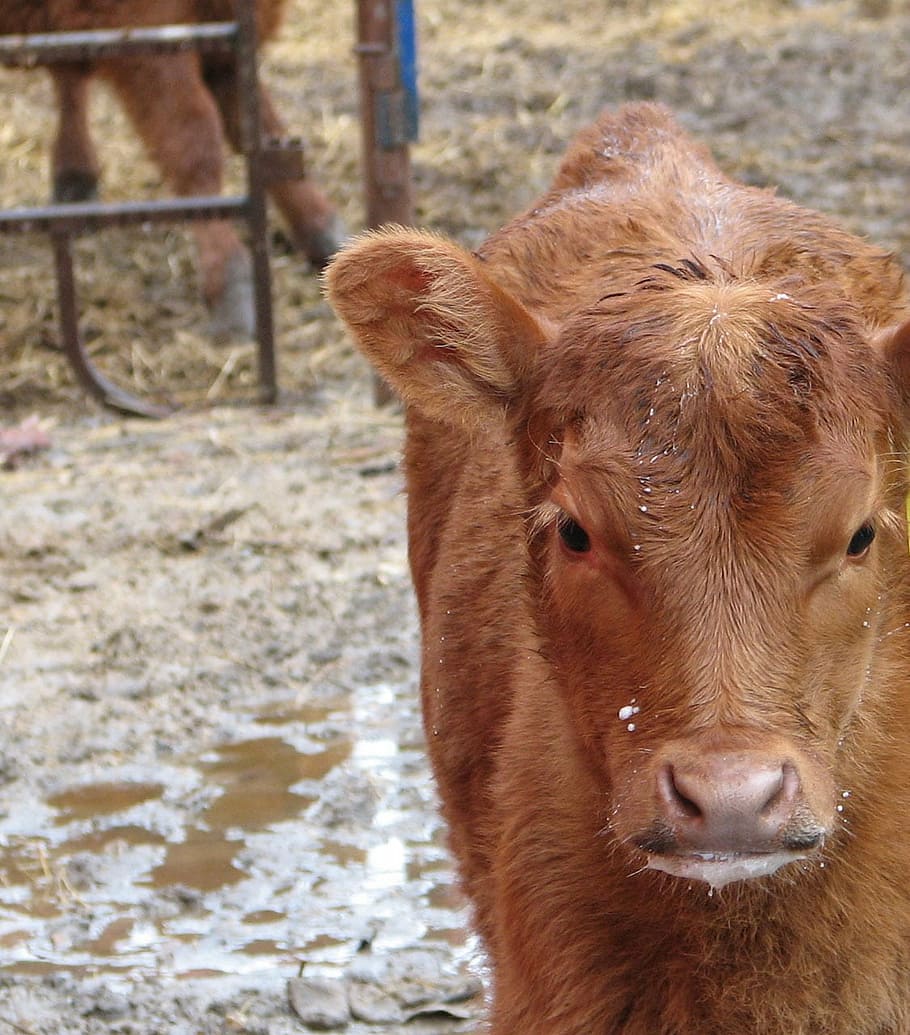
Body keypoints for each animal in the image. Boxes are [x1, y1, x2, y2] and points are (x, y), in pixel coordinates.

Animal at [1, 1, 344, 338]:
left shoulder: (228, 42)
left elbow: (263, 133)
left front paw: (324, 233)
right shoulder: (149, 39)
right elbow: (194, 145)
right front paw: (230, 282)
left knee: (67, 73)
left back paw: (74, 179)